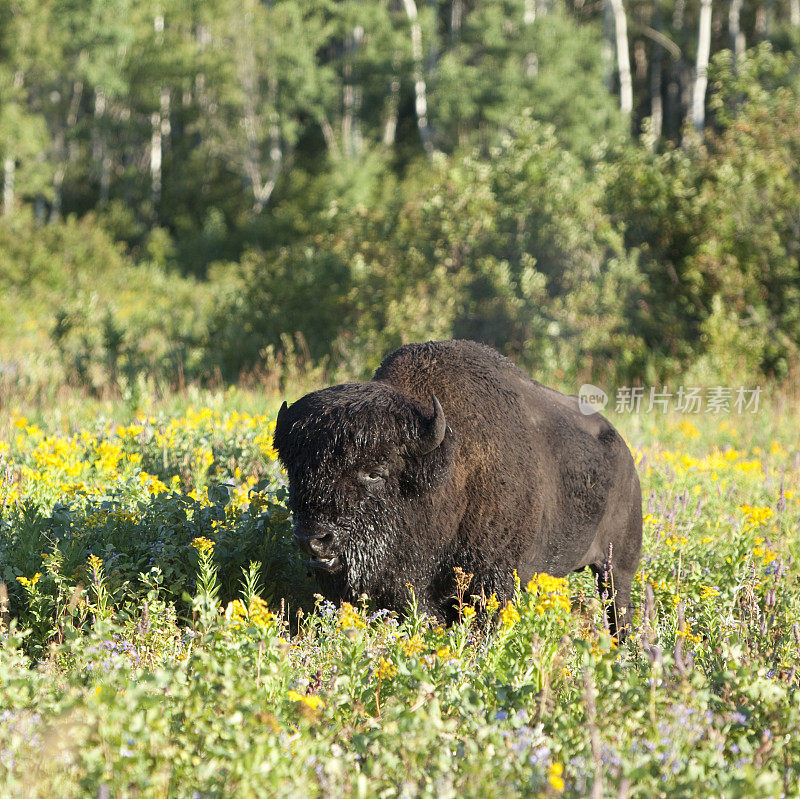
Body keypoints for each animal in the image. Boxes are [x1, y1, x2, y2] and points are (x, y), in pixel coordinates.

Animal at [276, 340, 644, 640]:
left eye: (374, 473)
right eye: (296, 471)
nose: (314, 539)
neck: (450, 465)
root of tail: (625, 454)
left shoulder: (493, 579)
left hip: (617, 567)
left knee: (619, 607)